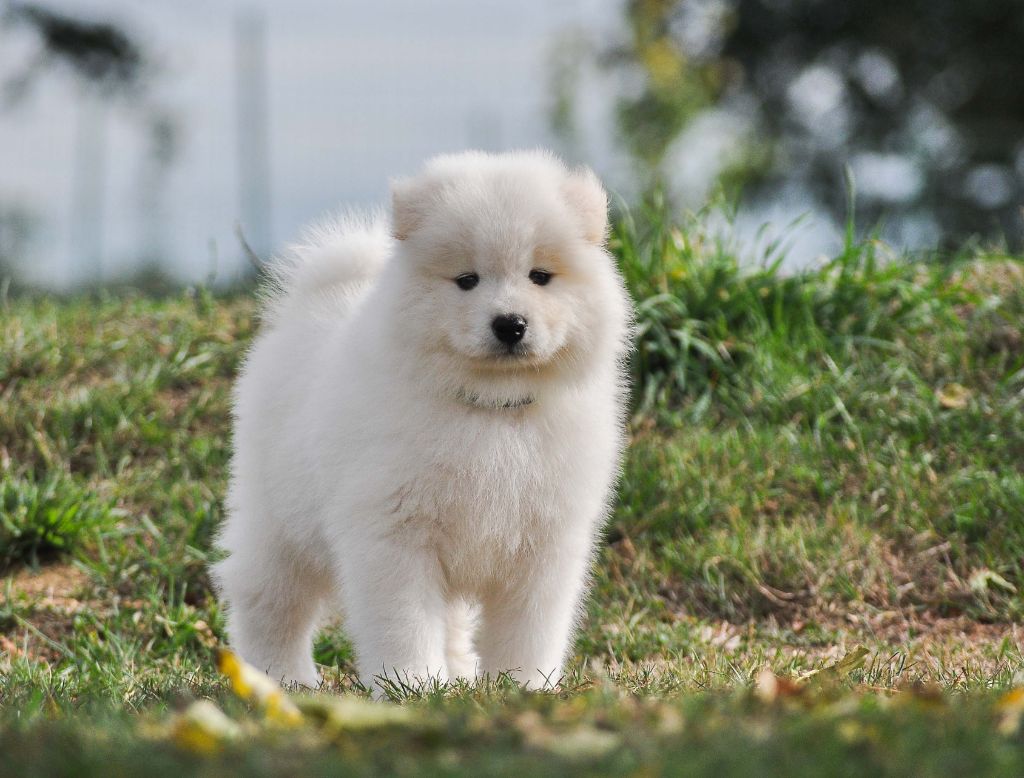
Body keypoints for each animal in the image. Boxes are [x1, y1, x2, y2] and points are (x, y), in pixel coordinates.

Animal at [214, 147, 630, 692]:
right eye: (467, 280)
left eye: (540, 276)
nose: (510, 323)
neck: (490, 411)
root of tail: (311, 307)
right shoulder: (396, 534)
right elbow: (404, 622)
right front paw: (410, 684)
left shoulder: (545, 542)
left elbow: (530, 627)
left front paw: (523, 685)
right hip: (281, 521)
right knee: (267, 597)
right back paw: (279, 679)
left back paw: (456, 679)